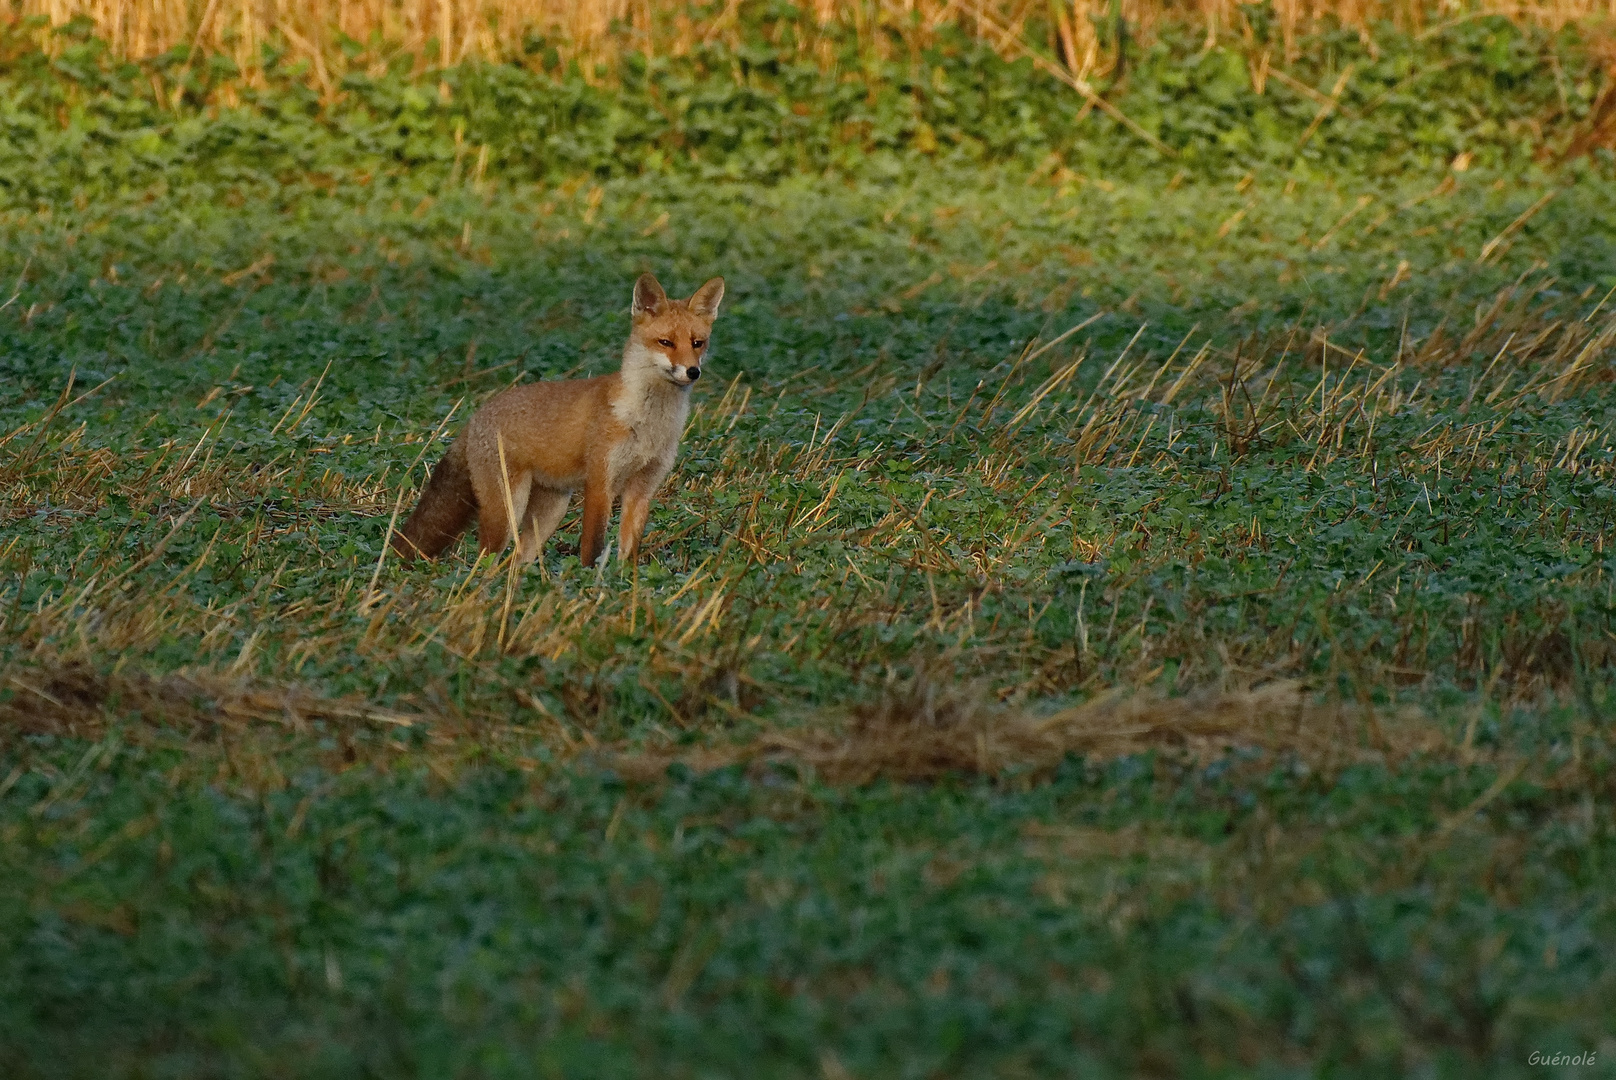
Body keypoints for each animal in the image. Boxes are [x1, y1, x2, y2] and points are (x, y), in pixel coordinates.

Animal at [391, 274, 727, 569]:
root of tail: (476, 416)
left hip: (550, 513)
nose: (692, 371)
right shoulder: (600, 483)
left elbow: (628, 553)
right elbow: (592, 548)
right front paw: (587, 584)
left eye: (698, 343)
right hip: (507, 511)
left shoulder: (642, 489)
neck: (648, 422)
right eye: (665, 342)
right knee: (485, 562)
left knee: (514, 563)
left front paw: (624, 585)